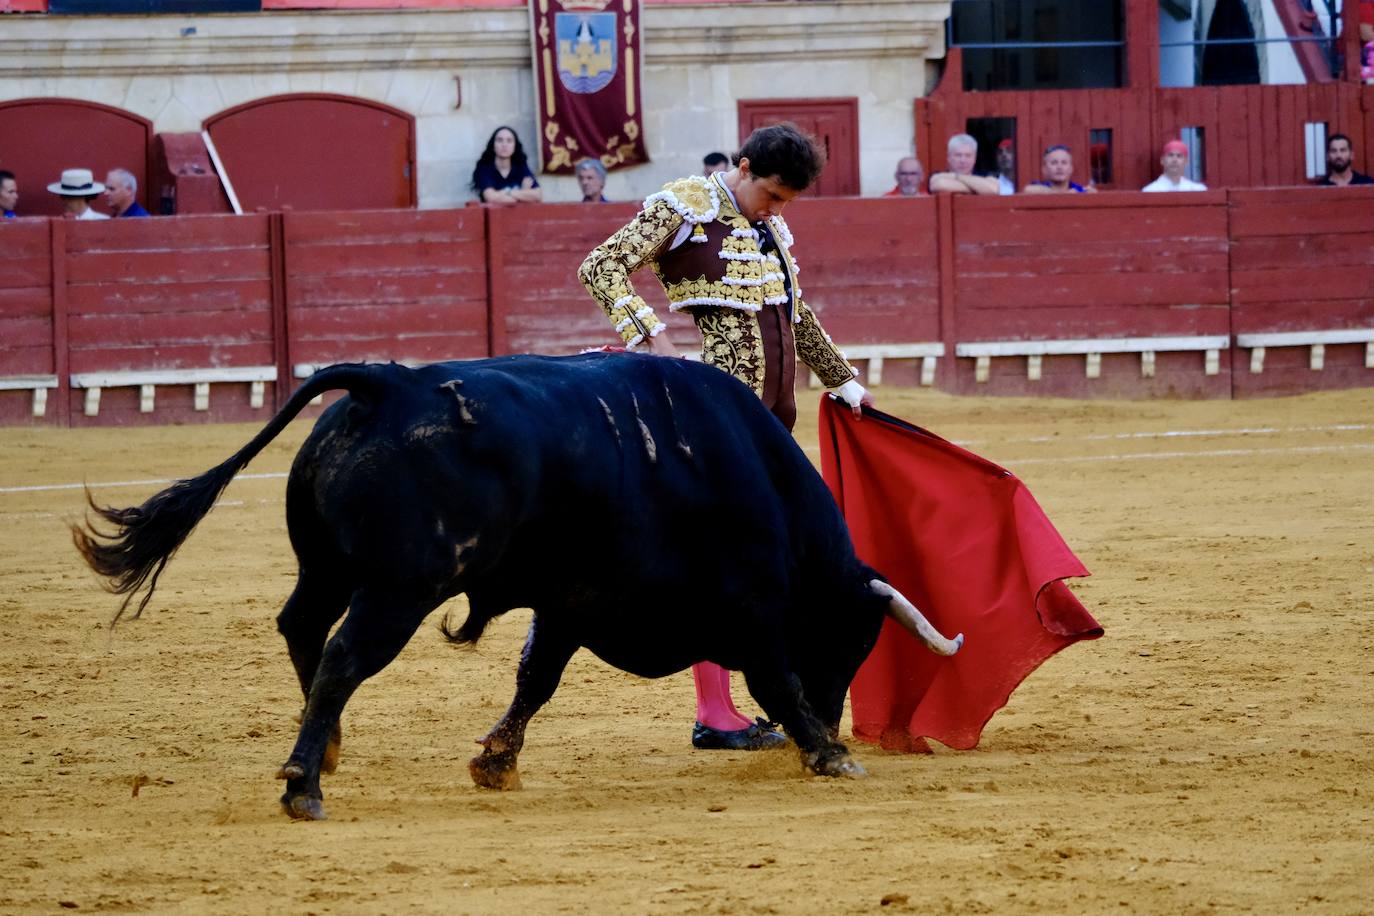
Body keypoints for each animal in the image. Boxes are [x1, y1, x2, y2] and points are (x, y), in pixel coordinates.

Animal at [72, 354, 956, 818]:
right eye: (854, 640)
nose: (842, 720)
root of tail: (386, 384)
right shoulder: (753, 611)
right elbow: (776, 681)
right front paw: (828, 755)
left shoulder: (569, 605)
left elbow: (536, 679)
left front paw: (496, 760)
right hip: (398, 588)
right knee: (342, 655)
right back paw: (304, 783)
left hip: (329, 566)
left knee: (300, 626)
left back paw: (329, 746)